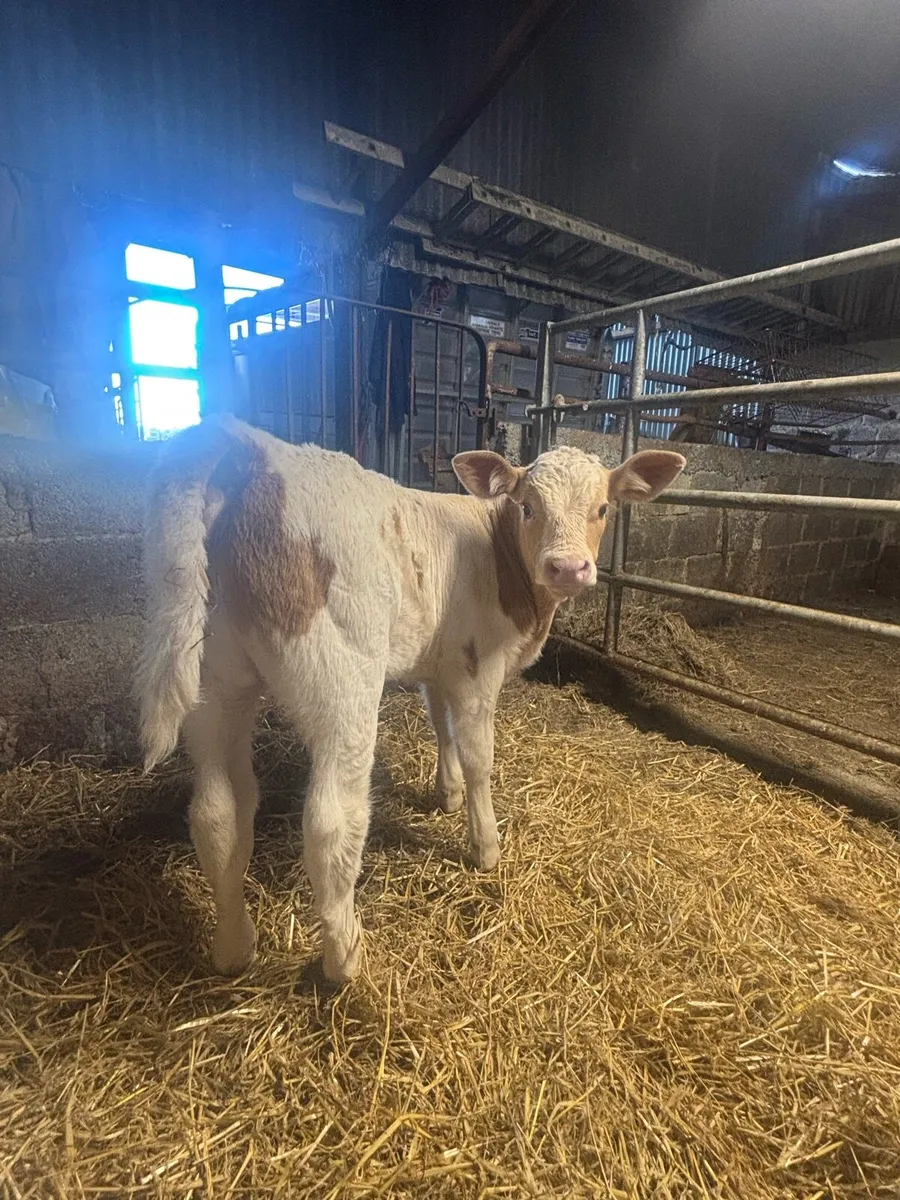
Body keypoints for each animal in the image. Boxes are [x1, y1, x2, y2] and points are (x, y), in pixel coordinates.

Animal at [137, 416, 685, 983]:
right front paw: (485, 845)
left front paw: (447, 794)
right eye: (528, 507)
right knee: (330, 822)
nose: (568, 568)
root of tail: (244, 446)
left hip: (212, 682)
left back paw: (233, 947)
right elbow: (479, 757)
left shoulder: (440, 664)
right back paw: (345, 958)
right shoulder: (478, 667)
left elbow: (441, 727)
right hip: (342, 682)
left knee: (217, 813)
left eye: (602, 509)